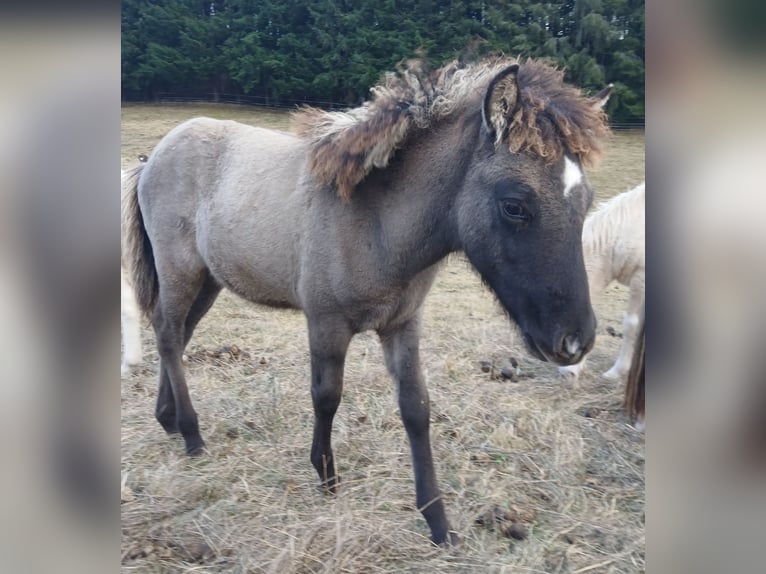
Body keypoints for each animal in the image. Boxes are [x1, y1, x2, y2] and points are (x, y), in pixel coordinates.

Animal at [122, 57, 611, 545]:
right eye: (514, 205)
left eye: (586, 201)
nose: (575, 341)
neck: (375, 222)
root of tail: (154, 156)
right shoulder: (326, 322)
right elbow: (326, 396)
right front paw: (326, 475)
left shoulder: (403, 324)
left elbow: (416, 408)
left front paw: (438, 521)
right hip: (180, 270)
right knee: (169, 334)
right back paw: (191, 434)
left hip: (208, 280)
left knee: (178, 334)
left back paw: (168, 418)